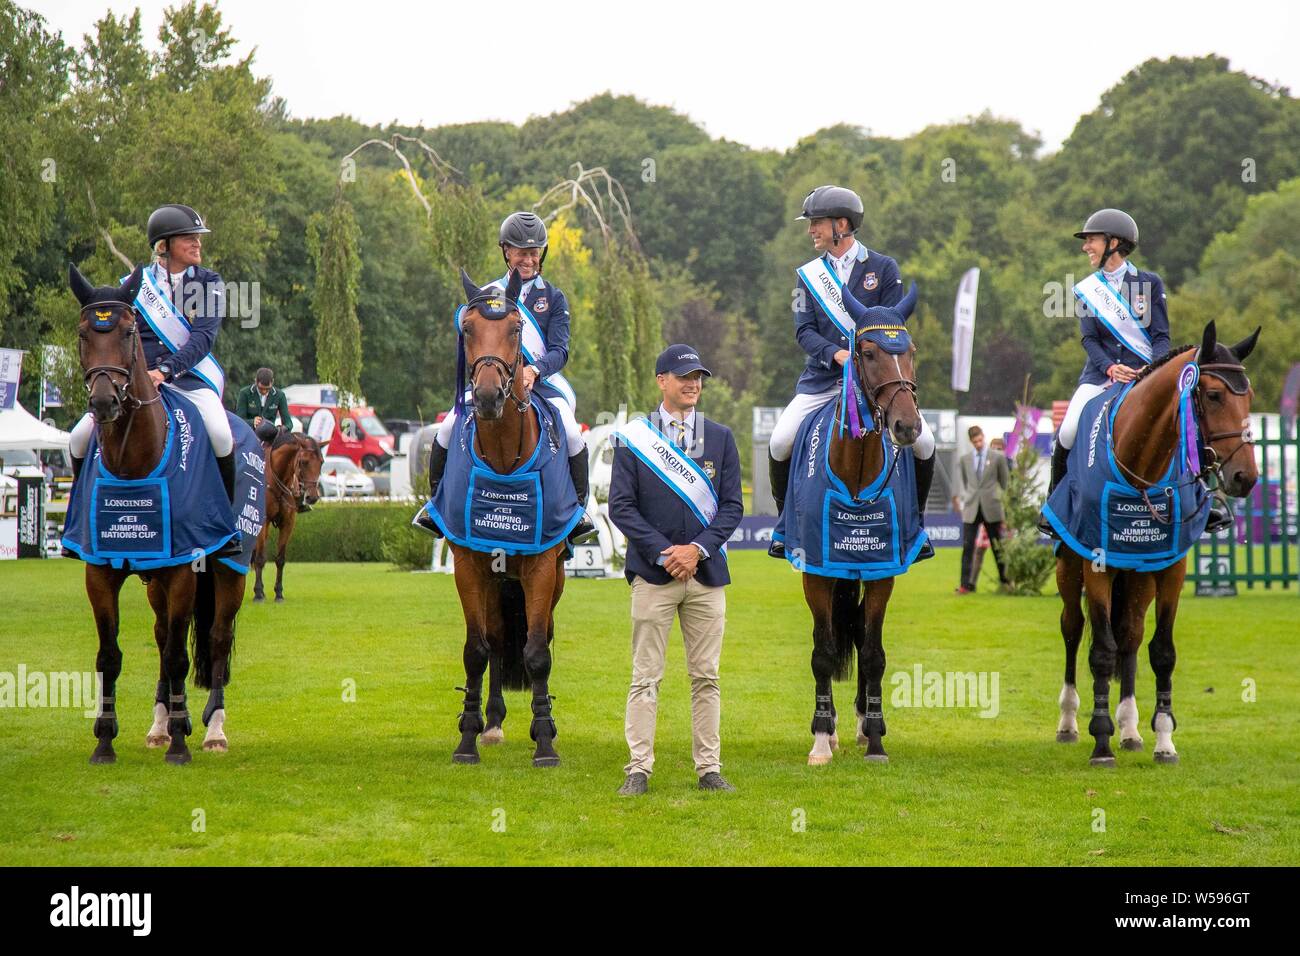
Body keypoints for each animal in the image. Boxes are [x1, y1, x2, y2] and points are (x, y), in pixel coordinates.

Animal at [69, 265, 248, 764]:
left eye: (129, 332)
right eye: (83, 333)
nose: (105, 403)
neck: (134, 461)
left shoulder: (184, 569)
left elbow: (179, 655)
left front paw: (182, 746)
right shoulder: (99, 571)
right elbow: (110, 655)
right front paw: (104, 741)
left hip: (228, 569)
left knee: (216, 639)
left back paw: (212, 730)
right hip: (156, 583)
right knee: (162, 632)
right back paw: (161, 723)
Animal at [252, 429, 323, 600]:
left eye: (322, 462)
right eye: (303, 462)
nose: (312, 497)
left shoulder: (288, 522)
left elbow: (280, 559)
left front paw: (278, 592)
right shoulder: (262, 521)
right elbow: (260, 558)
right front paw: (258, 593)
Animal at [1055, 325, 1258, 764]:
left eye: (1249, 395)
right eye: (1213, 395)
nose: (1245, 477)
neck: (1141, 469)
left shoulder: (1170, 569)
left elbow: (1161, 651)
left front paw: (1164, 739)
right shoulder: (1096, 565)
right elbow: (1101, 651)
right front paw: (1101, 743)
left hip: (1139, 576)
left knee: (1130, 635)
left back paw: (1130, 730)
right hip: (1069, 568)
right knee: (1073, 629)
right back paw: (1069, 721)